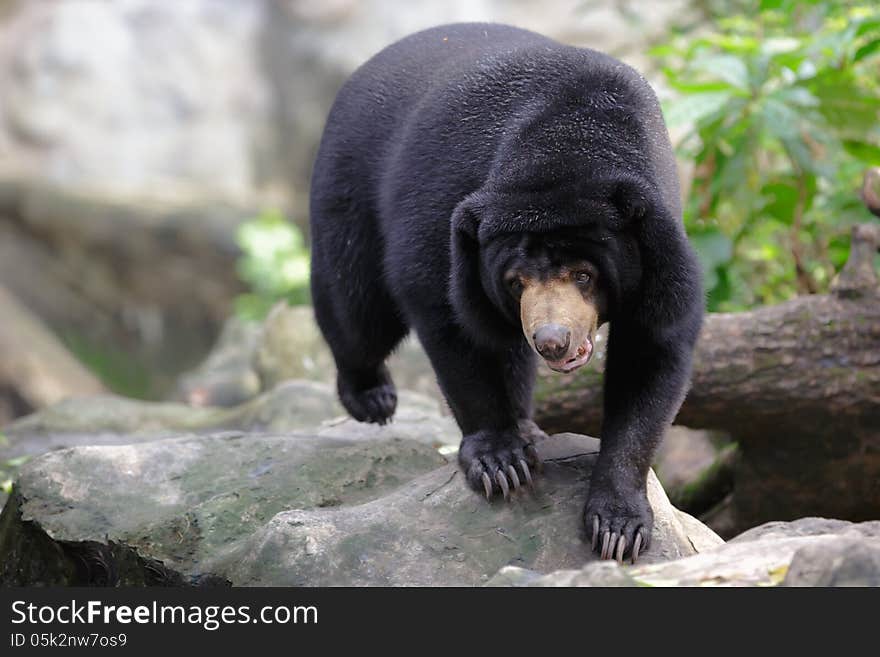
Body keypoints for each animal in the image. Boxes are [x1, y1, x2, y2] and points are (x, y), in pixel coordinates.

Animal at [312, 23, 704, 560]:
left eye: (584, 275)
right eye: (516, 280)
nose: (552, 340)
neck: (568, 145)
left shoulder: (659, 249)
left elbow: (651, 351)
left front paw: (618, 527)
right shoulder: (449, 212)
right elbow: (449, 316)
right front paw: (501, 463)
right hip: (349, 184)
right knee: (356, 309)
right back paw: (371, 398)